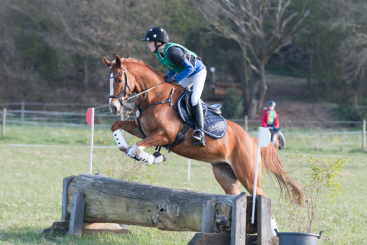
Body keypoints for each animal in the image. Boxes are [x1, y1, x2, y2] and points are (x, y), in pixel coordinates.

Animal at [104, 54, 304, 228]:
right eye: (108, 81)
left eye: (119, 80)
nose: (114, 108)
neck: (156, 96)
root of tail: (253, 140)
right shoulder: (142, 131)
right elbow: (117, 126)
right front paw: (125, 146)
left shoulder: (165, 135)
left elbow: (136, 148)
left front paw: (152, 157)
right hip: (227, 177)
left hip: (248, 175)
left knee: (262, 199)